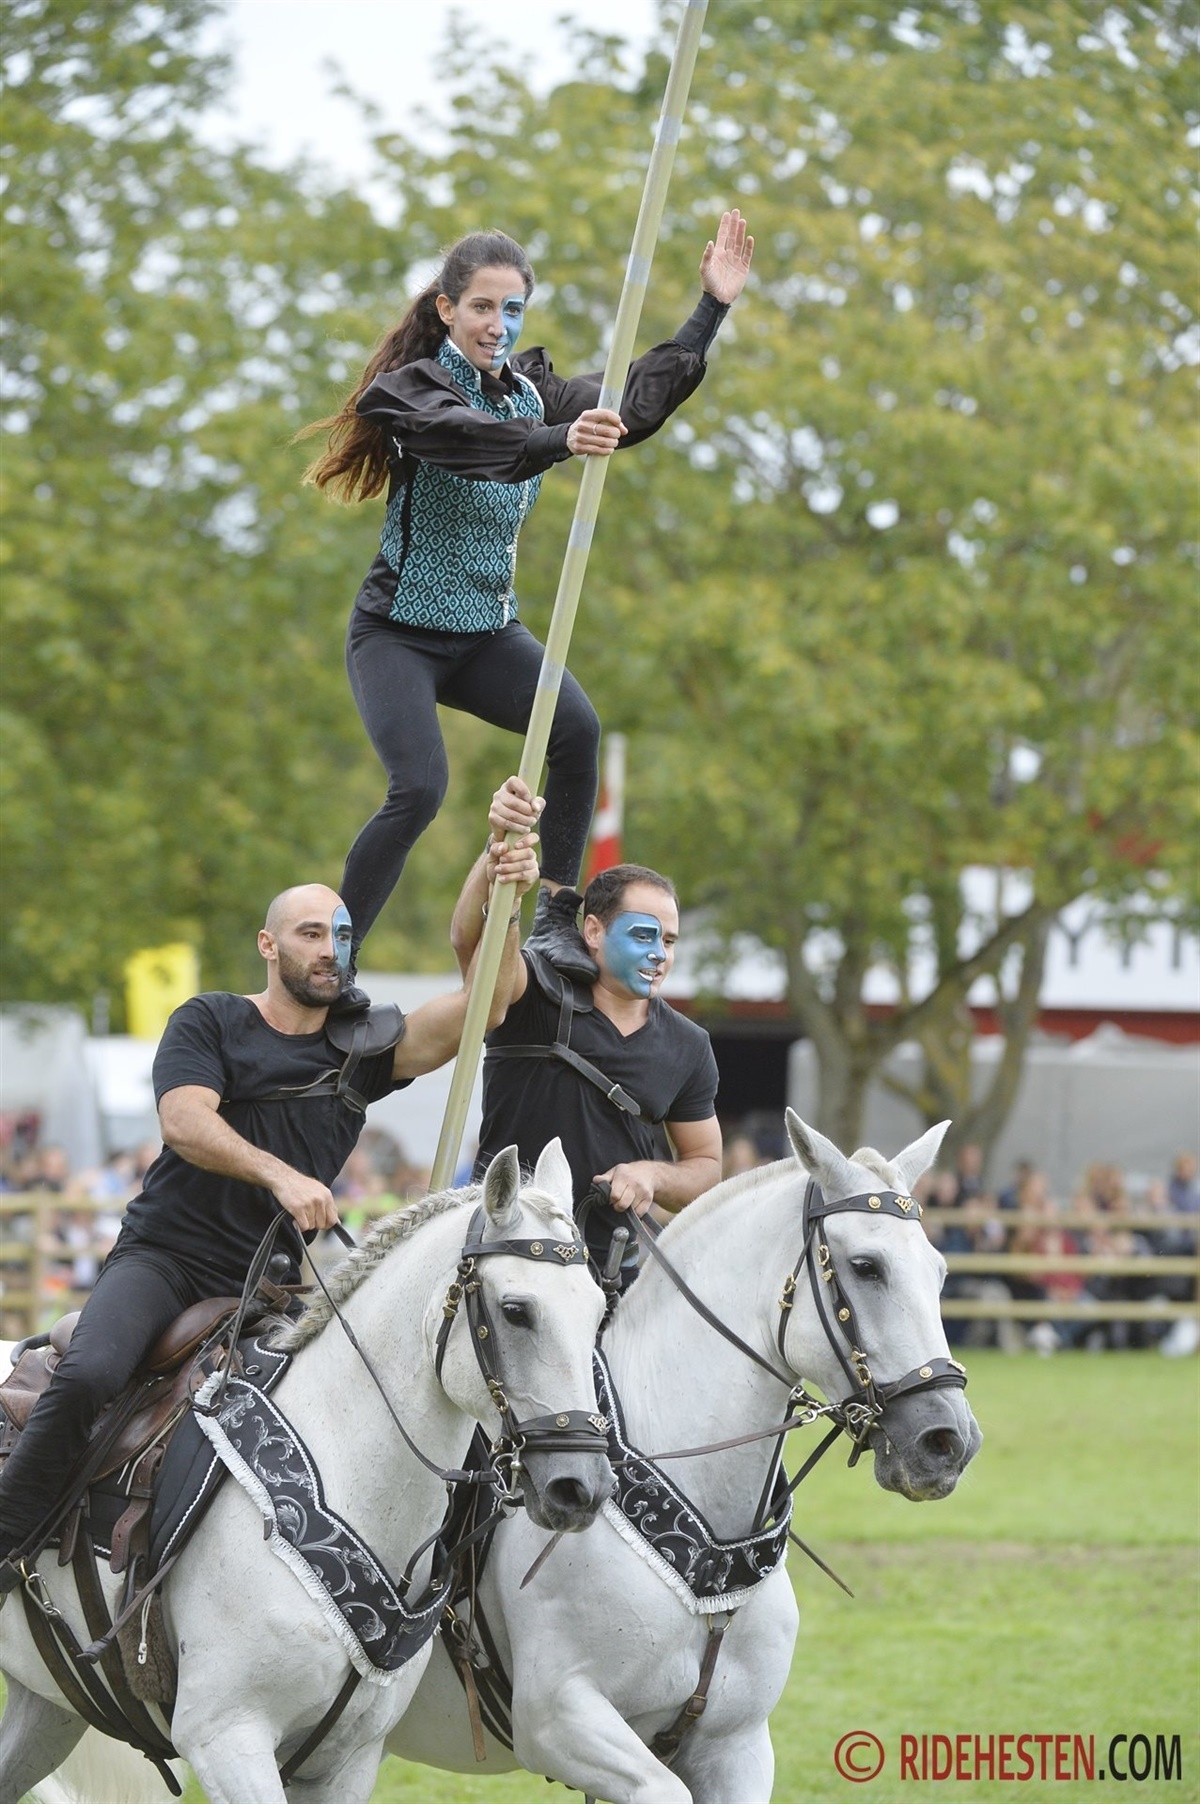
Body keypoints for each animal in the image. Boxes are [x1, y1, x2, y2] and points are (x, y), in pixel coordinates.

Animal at [0, 1141, 613, 1804]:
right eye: (516, 1311)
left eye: (600, 1310)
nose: (581, 1487)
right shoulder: (227, 1740)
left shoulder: (346, 1761)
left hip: (45, 1707)